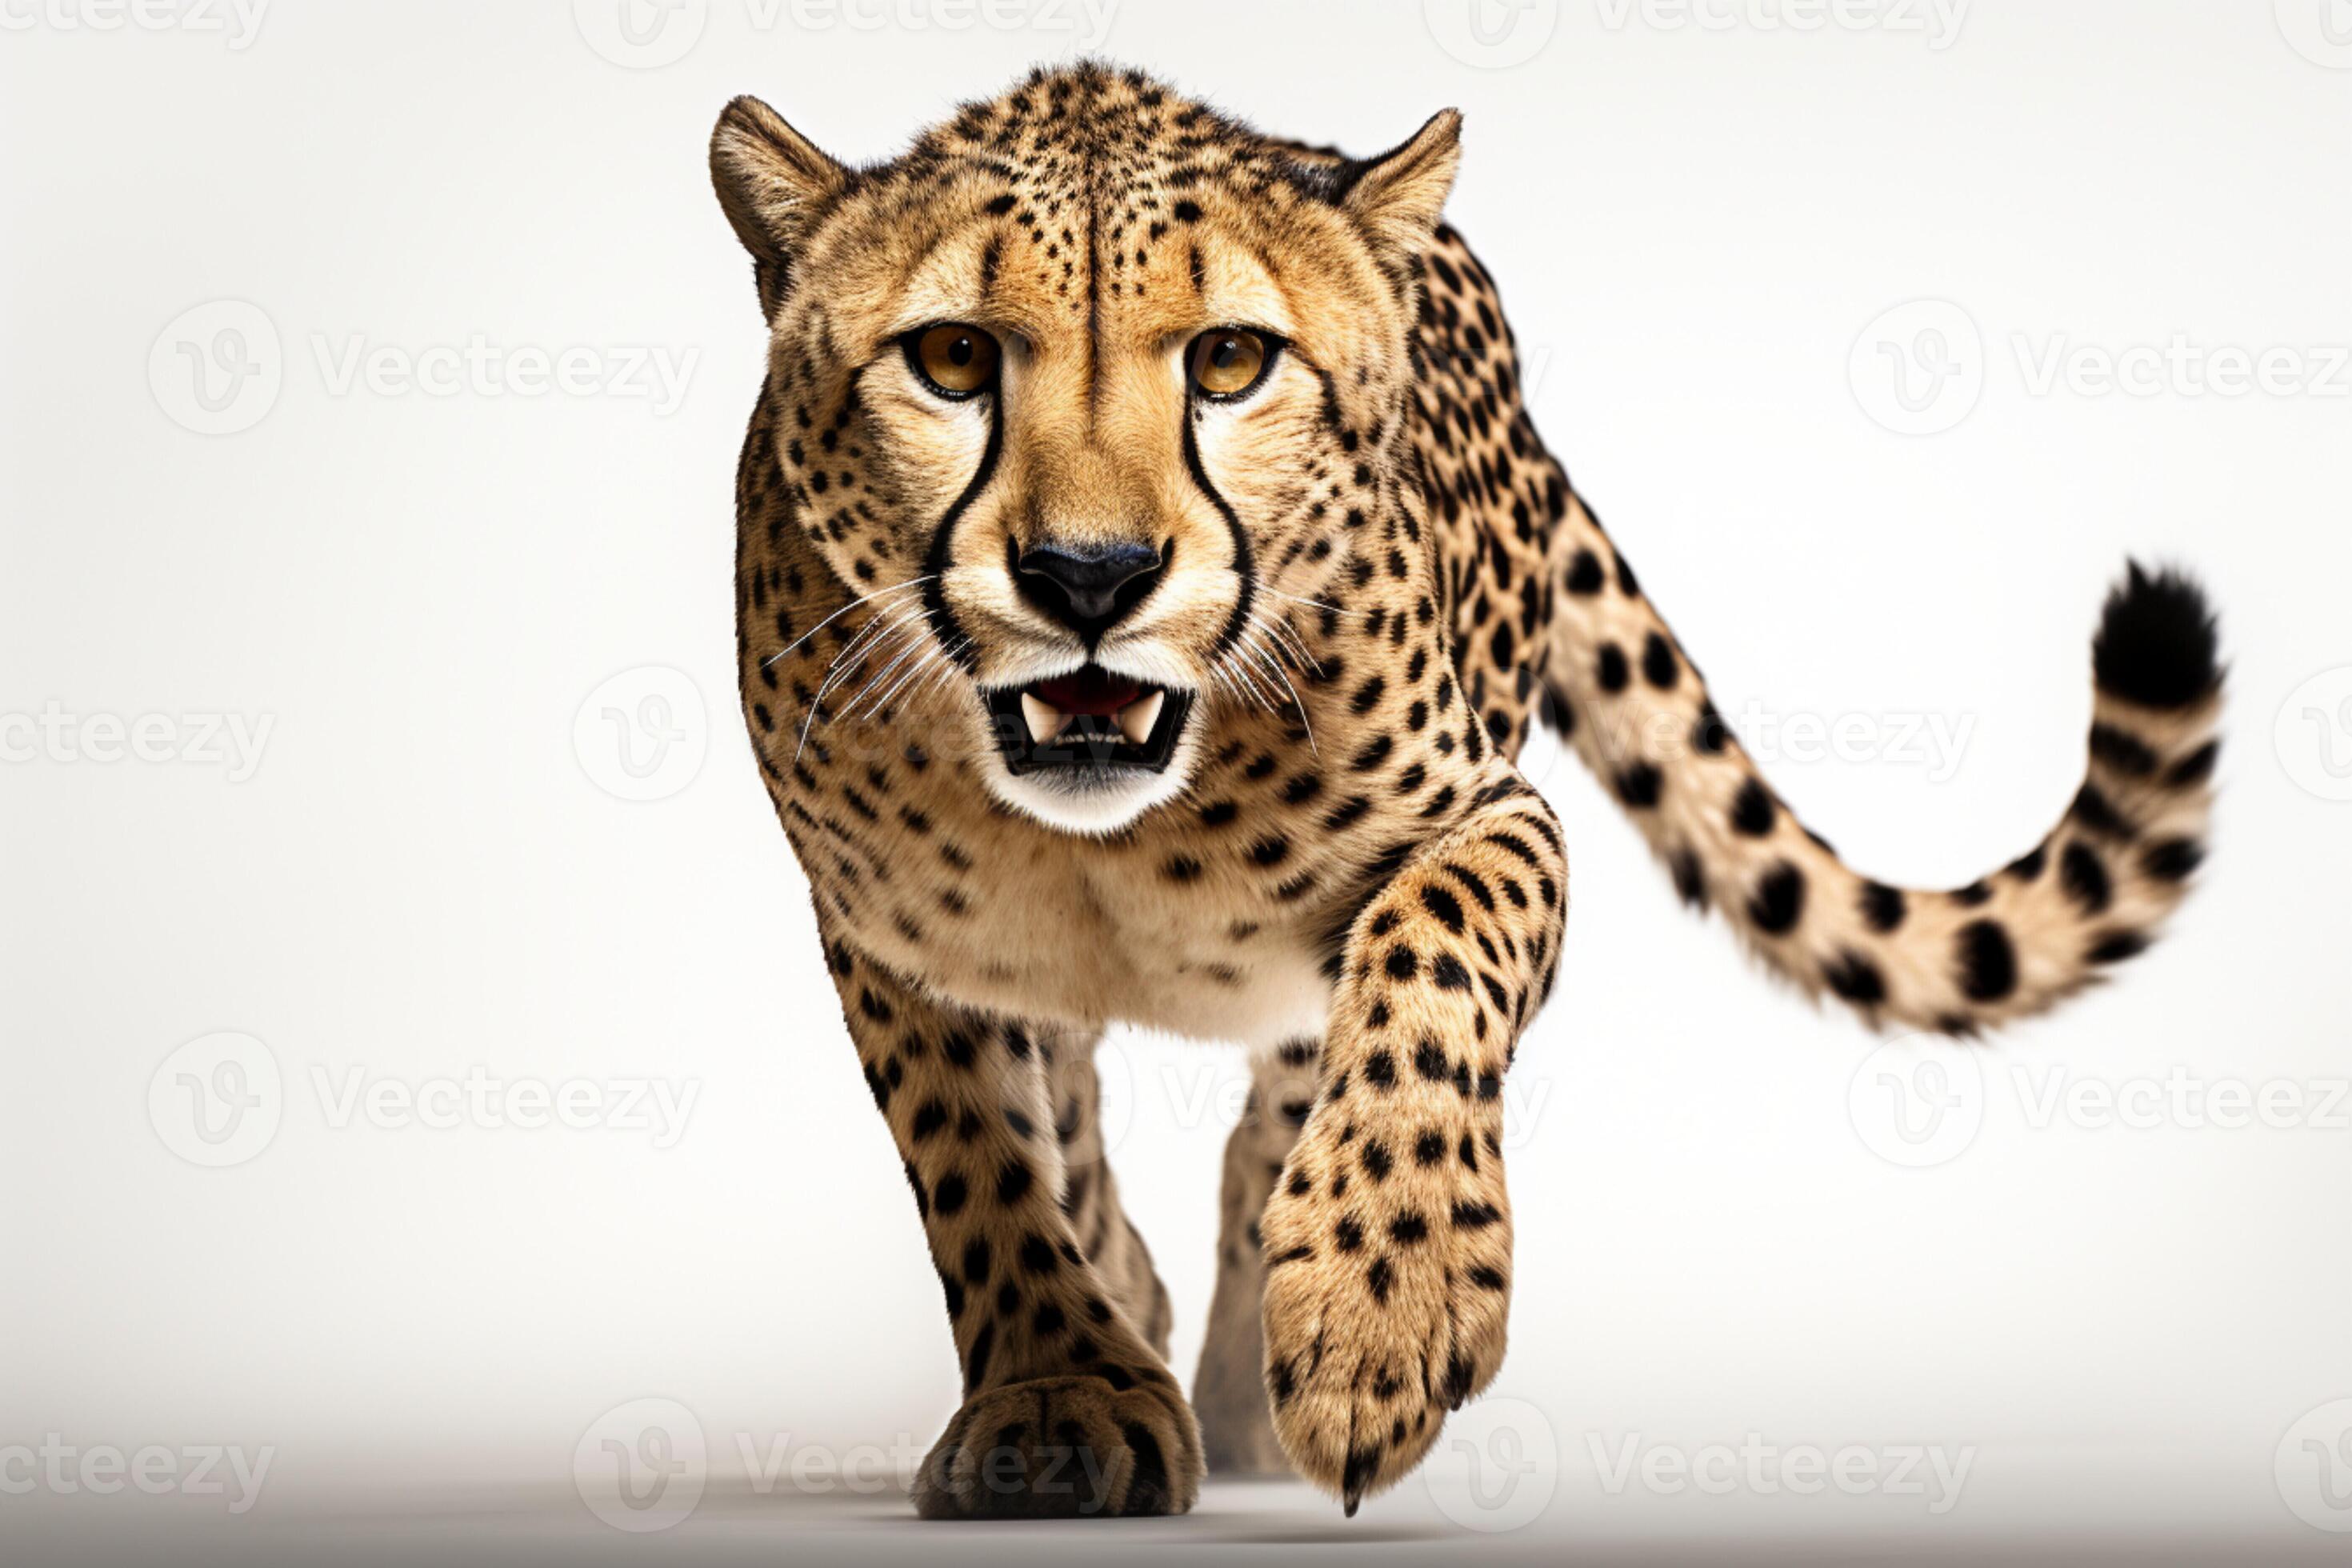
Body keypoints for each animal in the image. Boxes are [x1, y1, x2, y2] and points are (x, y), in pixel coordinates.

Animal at [706, 61, 2223, 1521]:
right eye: (953, 356)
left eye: (1231, 360)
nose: (1091, 577)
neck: (1115, 836)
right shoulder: (889, 935)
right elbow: (984, 1160)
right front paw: (1059, 1394)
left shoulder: (1485, 812)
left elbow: (1433, 949)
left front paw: (1380, 1311)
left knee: (1273, 1117)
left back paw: (1250, 1384)